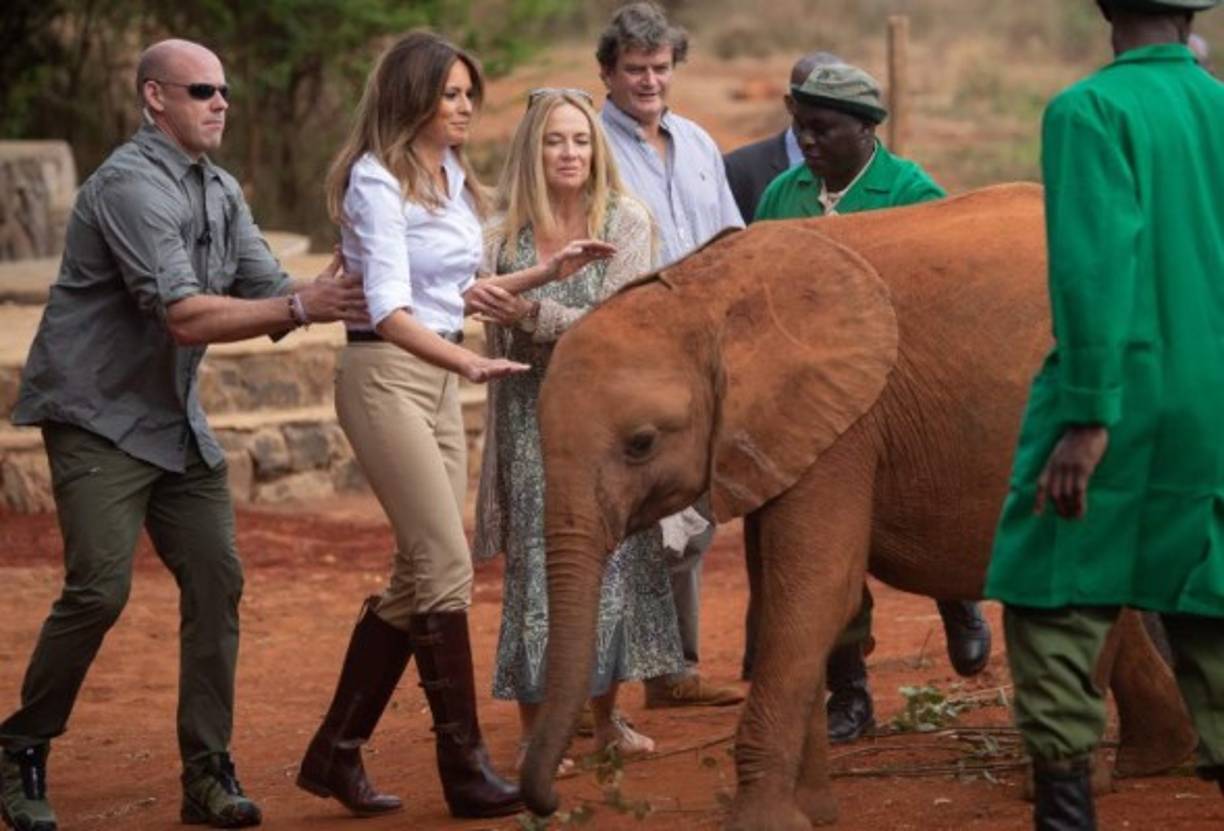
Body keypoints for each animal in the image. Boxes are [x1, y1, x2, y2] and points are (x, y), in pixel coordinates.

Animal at [518, 183, 1197, 829]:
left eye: (641, 443)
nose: (547, 802)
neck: (703, 292)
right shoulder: (781, 434)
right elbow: (782, 594)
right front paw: (814, 813)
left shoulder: (844, 423)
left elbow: (815, 591)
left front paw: (763, 823)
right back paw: (1152, 760)